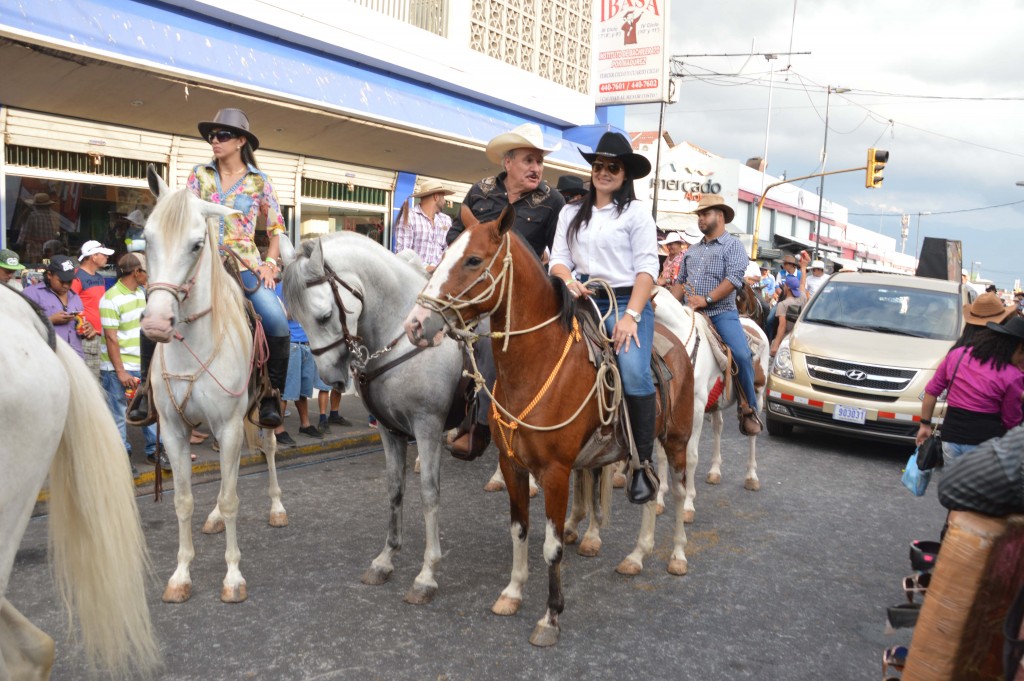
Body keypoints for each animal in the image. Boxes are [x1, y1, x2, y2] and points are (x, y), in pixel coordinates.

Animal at [138, 166, 286, 602]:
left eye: (196, 245)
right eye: (147, 238)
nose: (157, 324)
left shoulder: (230, 423)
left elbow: (233, 497)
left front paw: (233, 576)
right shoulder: (174, 431)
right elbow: (184, 501)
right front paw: (181, 575)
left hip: (259, 412)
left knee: (268, 449)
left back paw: (276, 508)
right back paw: (215, 517)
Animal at [280, 235, 464, 606]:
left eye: (324, 316)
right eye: (297, 319)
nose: (331, 379)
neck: (406, 338)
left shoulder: (428, 428)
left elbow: (429, 494)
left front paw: (427, 574)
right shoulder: (390, 431)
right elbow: (395, 488)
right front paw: (386, 558)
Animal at [401, 204, 696, 647]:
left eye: (473, 260)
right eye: (448, 250)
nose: (416, 324)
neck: (536, 364)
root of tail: (672, 341)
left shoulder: (556, 472)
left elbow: (552, 546)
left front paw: (550, 617)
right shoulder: (511, 464)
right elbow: (520, 530)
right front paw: (512, 593)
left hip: (676, 440)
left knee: (676, 493)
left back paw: (676, 555)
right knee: (650, 490)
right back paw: (635, 556)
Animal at [651, 286, 765, 520]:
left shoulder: (695, 409)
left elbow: (692, 455)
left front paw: (688, 504)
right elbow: (662, 456)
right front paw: (659, 499)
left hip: (758, 395)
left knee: (752, 434)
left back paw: (751, 476)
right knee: (718, 427)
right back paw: (714, 471)